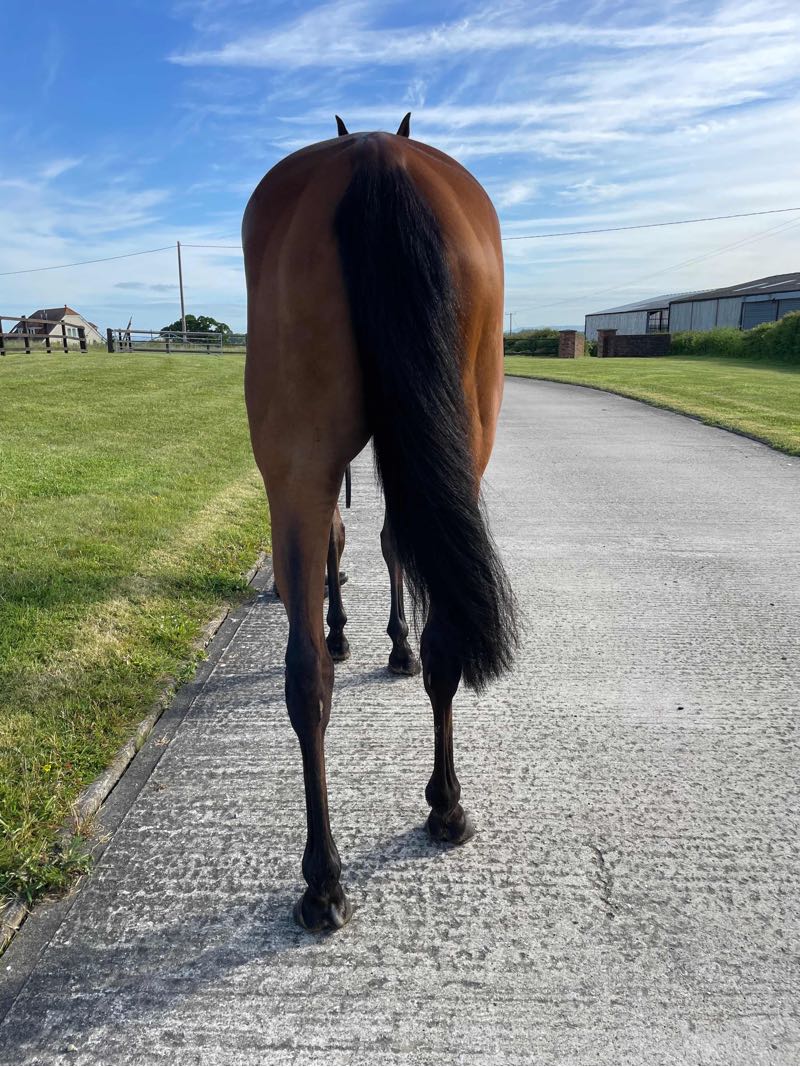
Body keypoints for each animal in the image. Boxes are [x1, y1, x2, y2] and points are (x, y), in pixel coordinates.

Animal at [242, 113, 517, 932]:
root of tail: (373, 151)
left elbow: (354, 546)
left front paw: (362, 634)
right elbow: (387, 545)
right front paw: (386, 641)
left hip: (300, 463)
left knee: (309, 671)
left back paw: (326, 879)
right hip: (454, 437)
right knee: (428, 643)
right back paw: (438, 810)